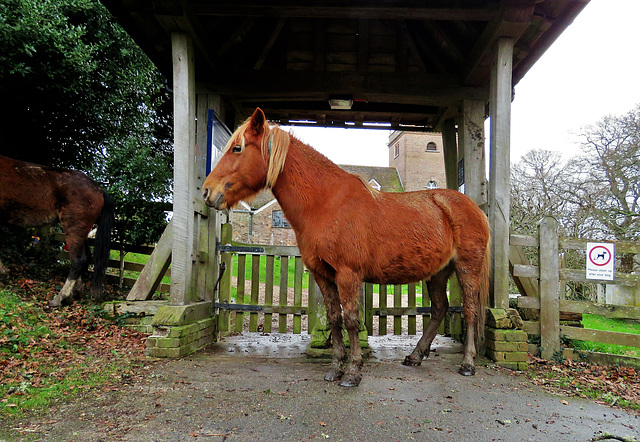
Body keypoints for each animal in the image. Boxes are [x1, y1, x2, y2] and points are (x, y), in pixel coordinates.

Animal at [0, 155, 114, 308]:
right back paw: (74, 293)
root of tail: (99, 190)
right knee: (85, 258)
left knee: (78, 261)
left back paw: (60, 298)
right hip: (82, 233)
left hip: (73, 230)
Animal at [202, 109, 492, 386]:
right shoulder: (322, 275)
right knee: (440, 309)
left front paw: (352, 371)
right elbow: (334, 318)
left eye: (237, 148)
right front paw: (334, 368)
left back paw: (467, 363)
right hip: (438, 273)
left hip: (466, 268)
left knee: (470, 310)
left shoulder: (348, 274)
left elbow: (352, 319)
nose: (207, 191)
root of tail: (472, 208)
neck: (326, 203)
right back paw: (415, 355)